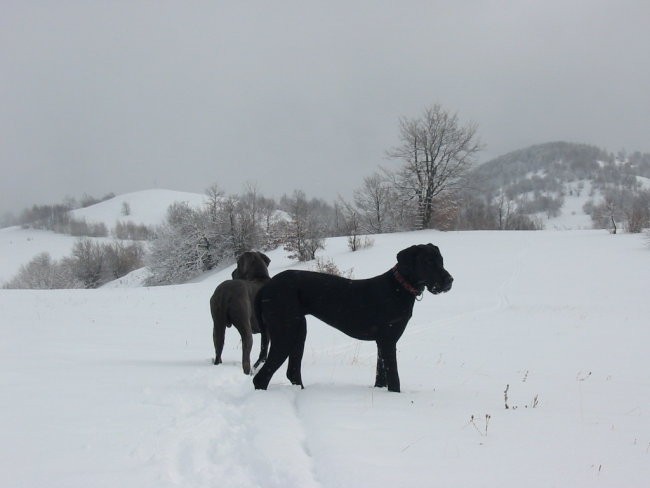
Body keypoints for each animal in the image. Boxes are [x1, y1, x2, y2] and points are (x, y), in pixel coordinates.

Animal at [252, 244, 450, 392]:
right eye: (428, 262)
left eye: (441, 260)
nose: (450, 281)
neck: (399, 287)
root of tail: (266, 287)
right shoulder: (388, 341)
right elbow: (394, 379)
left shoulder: (382, 343)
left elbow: (381, 376)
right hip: (285, 334)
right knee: (261, 378)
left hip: (299, 331)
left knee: (292, 372)